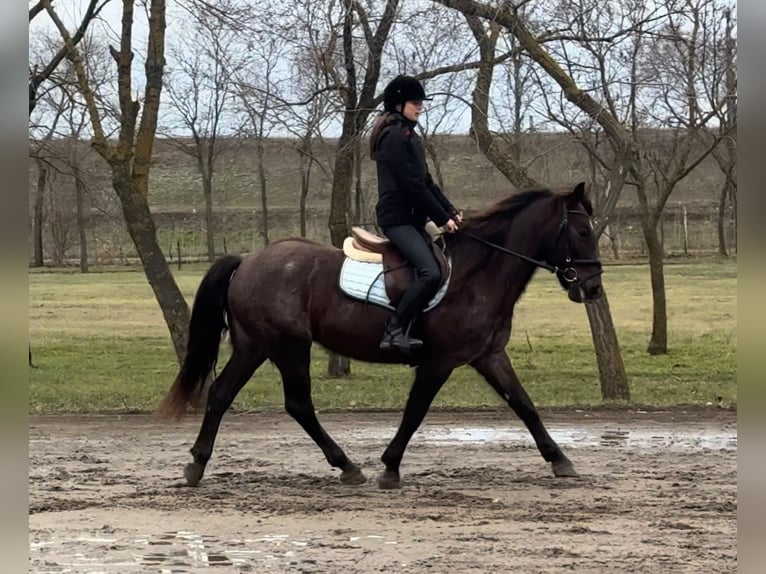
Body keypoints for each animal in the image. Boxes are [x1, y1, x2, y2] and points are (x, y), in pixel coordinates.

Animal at [158, 182, 603, 489]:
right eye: (582, 232)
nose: (593, 288)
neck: (478, 274)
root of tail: (248, 261)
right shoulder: (439, 361)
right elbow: (415, 412)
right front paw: (389, 467)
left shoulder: (489, 355)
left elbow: (525, 406)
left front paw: (560, 460)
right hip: (288, 346)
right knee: (298, 404)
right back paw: (347, 465)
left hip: (255, 346)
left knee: (221, 394)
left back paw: (197, 464)